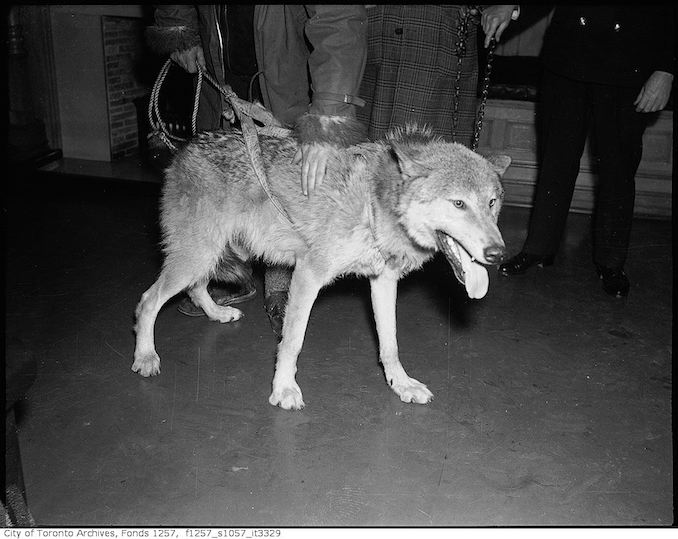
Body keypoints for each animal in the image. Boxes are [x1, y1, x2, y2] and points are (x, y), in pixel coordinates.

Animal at [133, 124, 510, 412]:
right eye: (459, 204)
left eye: (491, 203)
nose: (497, 254)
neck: (374, 203)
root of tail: (185, 147)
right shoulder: (308, 275)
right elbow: (292, 341)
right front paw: (283, 389)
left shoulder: (383, 280)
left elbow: (390, 344)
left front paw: (401, 384)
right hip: (197, 255)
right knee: (148, 301)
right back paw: (146, 356)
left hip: (207, 255)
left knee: (196, 288)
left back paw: (217, 314)